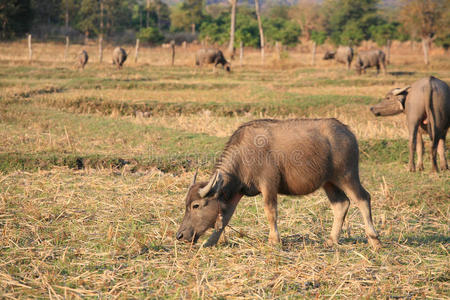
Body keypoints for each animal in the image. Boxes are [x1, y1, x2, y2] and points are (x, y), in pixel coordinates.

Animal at [178, 118, 382, 250]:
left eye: (196, 205)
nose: (180, 235)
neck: (243, 156)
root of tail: (348, 132)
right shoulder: (237, 191)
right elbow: (225, 218)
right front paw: (210, 241)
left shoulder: (269, 184)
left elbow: (270, 212)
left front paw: (274, 240)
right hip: (329, 183)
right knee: (341, 204)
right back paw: (332, 240)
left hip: (347, 175)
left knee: (363, 199)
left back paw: (374, 240)